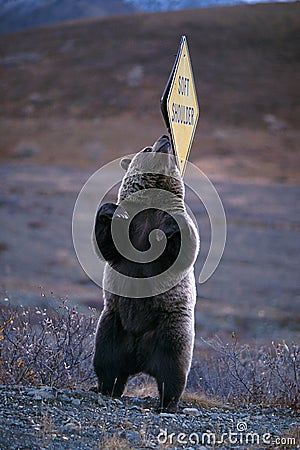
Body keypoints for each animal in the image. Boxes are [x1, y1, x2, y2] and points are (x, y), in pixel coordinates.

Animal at [92, 134, 198, 412]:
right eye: (147, 147)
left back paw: (167, 403)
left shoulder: (171, 221)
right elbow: (105, 245)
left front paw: (167, 231)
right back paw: (104, 388)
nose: (165, 137)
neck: (151, 203)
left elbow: (184, 249)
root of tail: (139, 359)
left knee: (173, 370)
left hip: (171, 329)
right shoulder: (131, 227)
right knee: (106, 361)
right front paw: (109, 210)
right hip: (112, 324)